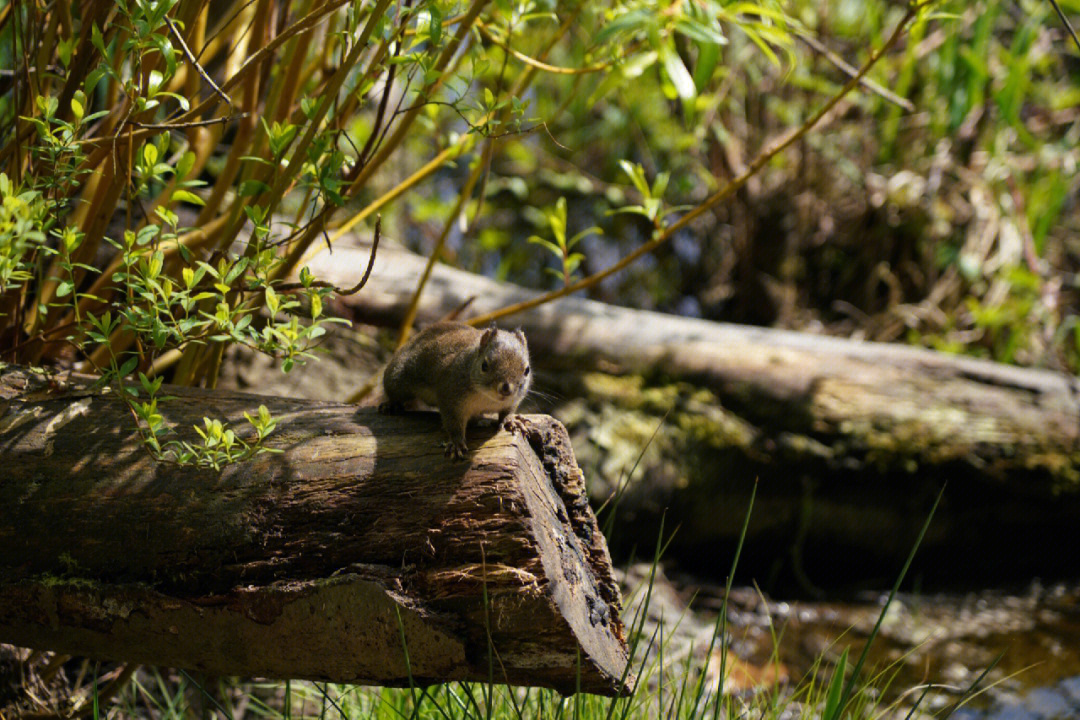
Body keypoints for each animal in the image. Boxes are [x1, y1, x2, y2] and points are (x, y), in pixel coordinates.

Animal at [380, 321, 531, 459]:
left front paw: (511, 420)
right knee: (393, 392)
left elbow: (507, 411)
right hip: (398, 379)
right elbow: (452, 422)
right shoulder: (450, 396)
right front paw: (456, 442)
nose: (506, 389)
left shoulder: (512, 401)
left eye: (527, 370)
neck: (487, 398)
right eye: (484, 365)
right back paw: (390, 405)